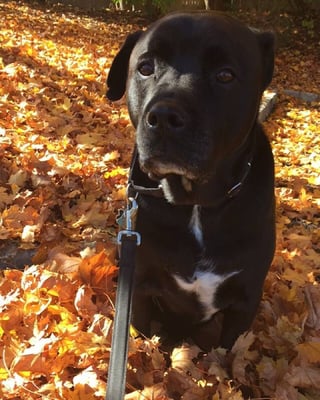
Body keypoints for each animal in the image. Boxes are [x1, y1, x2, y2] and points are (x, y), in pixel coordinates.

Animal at [107, 12, 276, 350]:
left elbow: (228, 352)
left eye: (225, 75)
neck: (196, 204)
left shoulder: (245, 299)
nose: (164, 116)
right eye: (145, 67)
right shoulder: (138, 287)